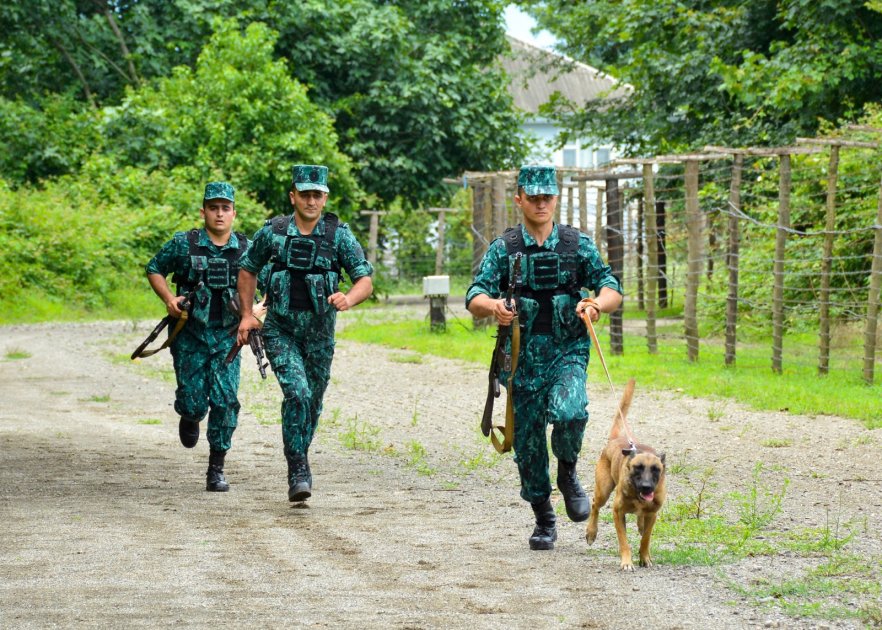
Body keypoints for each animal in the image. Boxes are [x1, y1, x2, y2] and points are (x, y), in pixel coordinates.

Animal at [588, 380, 664, 572]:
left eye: (656, 469)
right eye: (637, 468)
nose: (646, 487)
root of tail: (615, 440)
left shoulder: (653, 514)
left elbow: (646, 538)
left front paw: (645, 557)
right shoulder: (618, 512)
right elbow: (624, 541)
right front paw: (627, 562)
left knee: (641, 522)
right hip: (603, 491)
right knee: (595, 505)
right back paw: (591, 532)